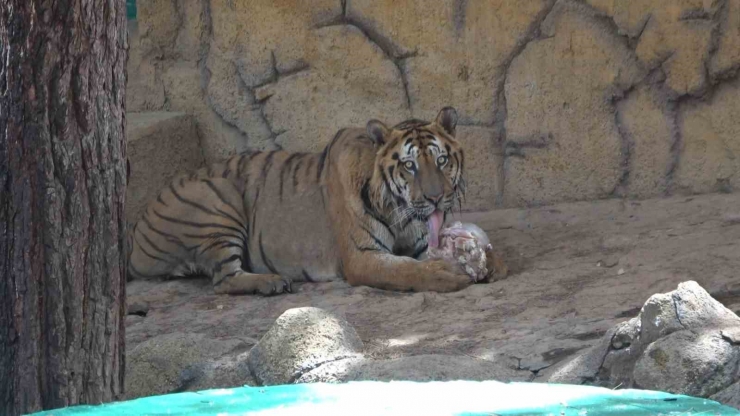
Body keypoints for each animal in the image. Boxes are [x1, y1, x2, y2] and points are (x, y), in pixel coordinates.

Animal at [129, 107, 498, 296]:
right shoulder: (361, 256)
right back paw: (272, 282)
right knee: (223, 281)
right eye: (409, 166)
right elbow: (406, 269)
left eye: (441, 160)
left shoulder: (421, 242)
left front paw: (486, 261)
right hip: (218, 195)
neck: (402, 213)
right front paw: (449, 274)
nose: (436, 198)